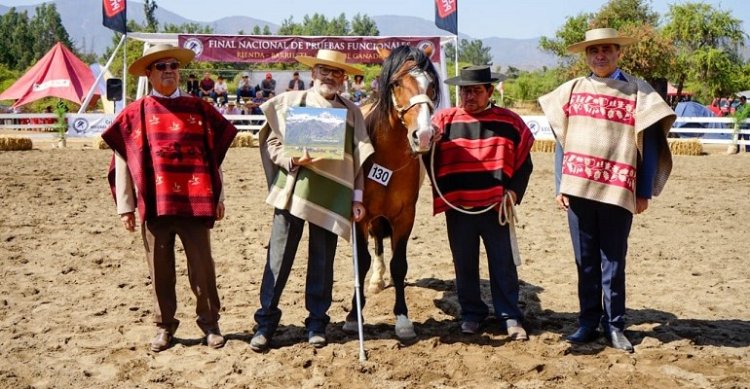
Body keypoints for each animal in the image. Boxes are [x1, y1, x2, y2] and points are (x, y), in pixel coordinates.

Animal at [346, 44, 444, 338]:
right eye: (397, 83)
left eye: (431, 84)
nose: (424, 135)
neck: (386, 157)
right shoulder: (361, 216)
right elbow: (363, 260)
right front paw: (353, 316)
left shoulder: (404, 217)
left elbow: (399, 264)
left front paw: (402, 319)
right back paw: (375, 281)